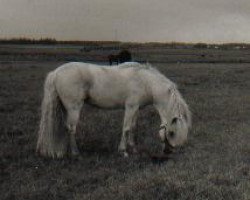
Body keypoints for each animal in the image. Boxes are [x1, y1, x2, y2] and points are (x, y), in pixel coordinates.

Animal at [36, 61, 191, 159]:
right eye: (171, 133)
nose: (168, 151)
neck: (146, 82)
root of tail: (56, 73)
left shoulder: (136, 108)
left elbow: (133, 127)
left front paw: (133, 149)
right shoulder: (130, 107)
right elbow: (126, 128)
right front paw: (123, 151)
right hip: (74, 108)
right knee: (71, 129)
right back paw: (76, 153)